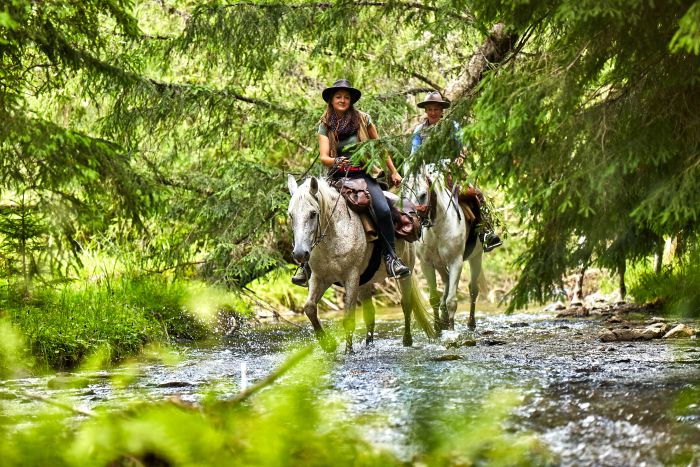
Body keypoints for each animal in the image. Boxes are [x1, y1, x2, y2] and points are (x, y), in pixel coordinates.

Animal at [284, 176, 432, 354]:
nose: (300, 253)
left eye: (313, 214)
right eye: (291, 215)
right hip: (364, 283)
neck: (336, 233)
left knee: (406, 304)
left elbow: (348, 318)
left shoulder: (351, 277)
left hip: (405, 273)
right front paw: (328, 344)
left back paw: (407, 340)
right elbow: (309, 308)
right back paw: (369, 345)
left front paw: (348, 351)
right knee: (370, 314)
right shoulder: (320, 278)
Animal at [402, 165, 484, 332]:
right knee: (446, 279)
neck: (437, 225)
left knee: (473, 289)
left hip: (476, 256)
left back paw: (471, 323)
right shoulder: (426, 264)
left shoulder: (456, 262)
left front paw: (451, 331)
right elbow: (434, 298)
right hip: (439, 264)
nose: (410, 221)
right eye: (403, 194)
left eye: (423, 195)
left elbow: (452, 300)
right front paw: (438, 328)